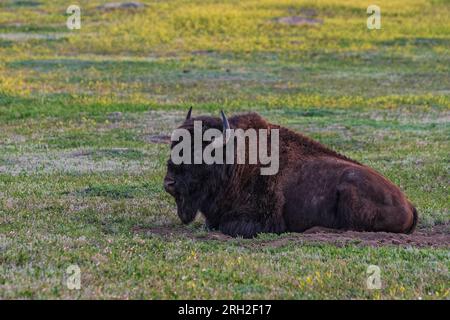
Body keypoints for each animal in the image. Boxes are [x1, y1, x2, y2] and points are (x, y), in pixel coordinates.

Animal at [164, 109, 418, 238]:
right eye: (174, 146)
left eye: (199, 152)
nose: (169, 183)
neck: (233, 160)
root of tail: (409, 204)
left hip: (350, 188)